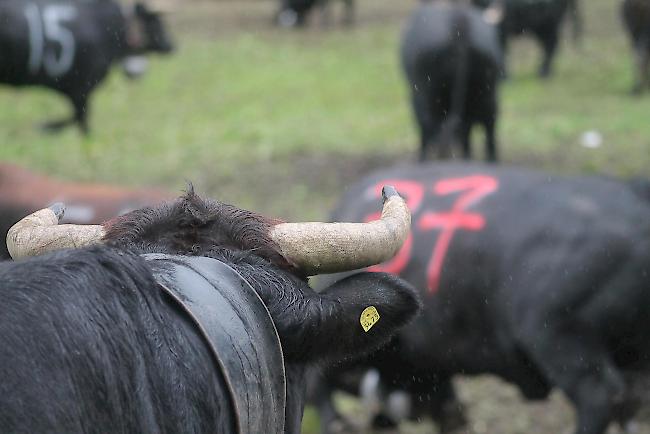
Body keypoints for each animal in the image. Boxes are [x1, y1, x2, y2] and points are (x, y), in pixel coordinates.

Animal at [0, 0, 172, 133]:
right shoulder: (81, 89)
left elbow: (78, 120)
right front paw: (47, 127)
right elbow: (80, 121)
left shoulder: (77, 92)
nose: (172, 46)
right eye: (155, 22)